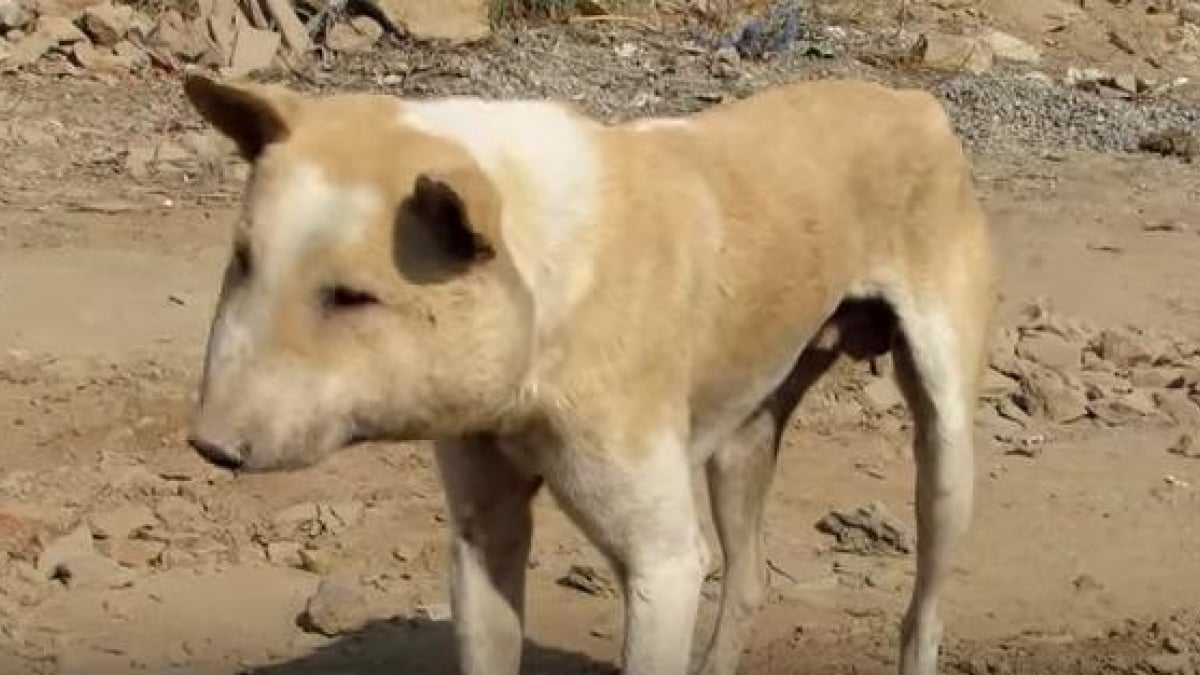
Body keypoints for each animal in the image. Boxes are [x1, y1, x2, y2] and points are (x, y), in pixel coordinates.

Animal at [182, 73, 998, 672]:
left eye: (353, 296)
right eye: (243, 260)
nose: (209, 445)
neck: (547, 278)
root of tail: (913, 100)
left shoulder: (663, 566)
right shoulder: (483, 536)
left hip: (945, 457)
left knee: (922, 611)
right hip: (743, 441)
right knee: (750, 578)